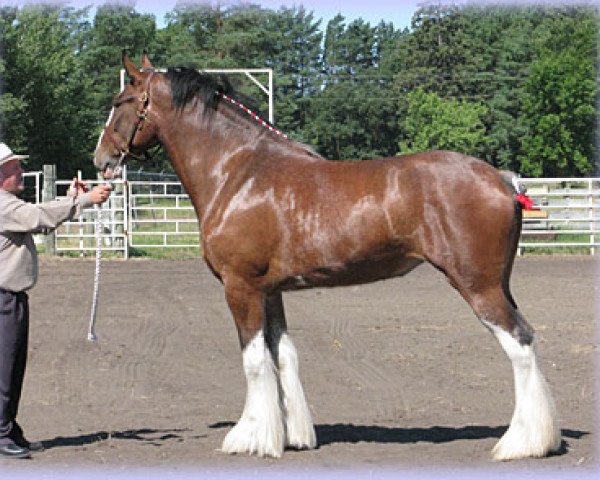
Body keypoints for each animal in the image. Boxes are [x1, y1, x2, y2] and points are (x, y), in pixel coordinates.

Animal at [94, 53, 564, 462]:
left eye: (120, 103)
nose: (101, 159)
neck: (238, 172)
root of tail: (502, 180)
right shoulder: (270, 291)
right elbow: (282, 354)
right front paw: (292, 435)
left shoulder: (240, 287)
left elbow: (254, 361)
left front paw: (250, 438)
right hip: (498, 284)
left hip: (477, 286)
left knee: (520, 343)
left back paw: (521, 444)